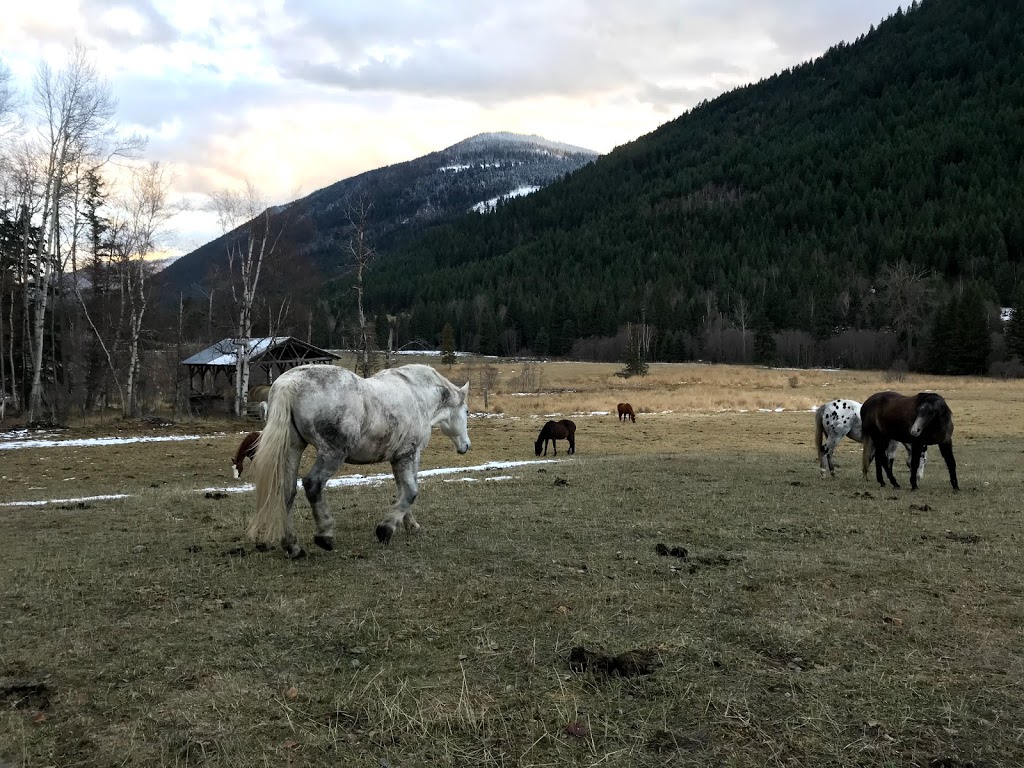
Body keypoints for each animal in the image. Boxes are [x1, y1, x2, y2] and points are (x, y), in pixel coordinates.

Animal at [247, 364, 471, 557]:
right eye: (467, 411)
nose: (466, 446)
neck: (417, 393)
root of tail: (289, 384)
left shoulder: (398, 458)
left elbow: (403, 490)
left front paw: (410, 525)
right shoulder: (409, 454)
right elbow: (411, 491)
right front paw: (385, 529)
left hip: (293, 449)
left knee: (287, 491)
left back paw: (293, 546)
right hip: (332, 454)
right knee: (312, 485)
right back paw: (325, 535)